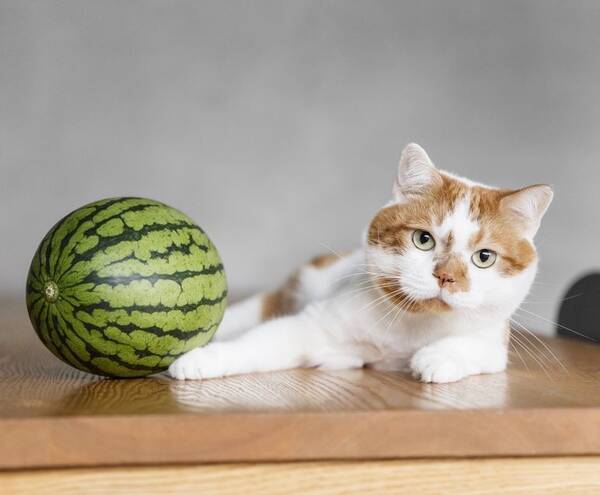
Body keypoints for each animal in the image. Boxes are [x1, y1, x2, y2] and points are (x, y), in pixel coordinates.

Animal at [169, 143, 552, 384]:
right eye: (423, 239)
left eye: (484, 257)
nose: (445, 276)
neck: (415, 325)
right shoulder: (315, 324)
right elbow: (257, 344)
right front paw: (201, 360)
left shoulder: (493, 344)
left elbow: (471, 347)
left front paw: (436, 359)